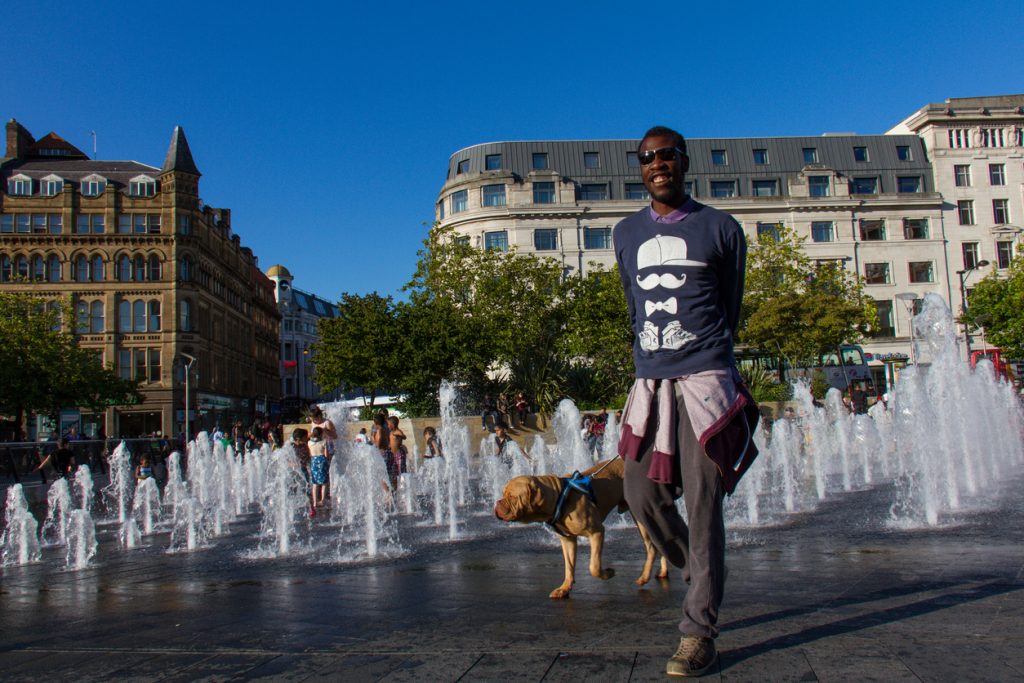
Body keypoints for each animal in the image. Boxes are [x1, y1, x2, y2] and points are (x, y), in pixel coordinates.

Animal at [491, 458, 667, 598]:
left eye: (512, 497)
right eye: (503, 493)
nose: (497, 503)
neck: (559, 498)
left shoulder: (597, 532)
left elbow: (593, 567)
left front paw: (608, 573)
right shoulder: (567, 539)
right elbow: (569, 566)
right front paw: (564, 588)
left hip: (641, 518)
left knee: (652, 547)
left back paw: (645, 577)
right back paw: (663, 572)